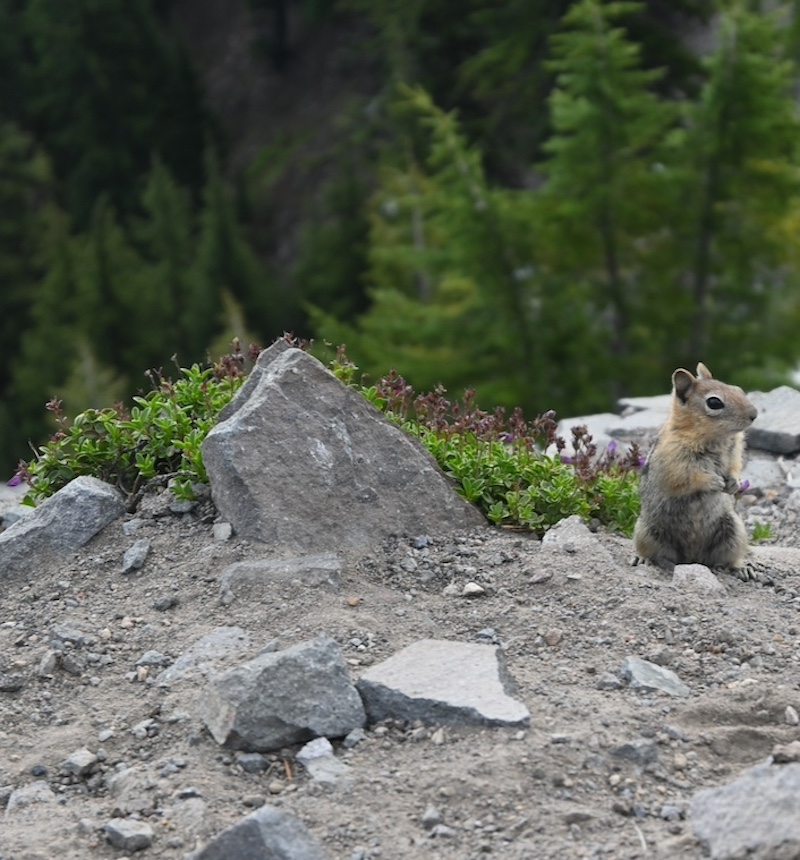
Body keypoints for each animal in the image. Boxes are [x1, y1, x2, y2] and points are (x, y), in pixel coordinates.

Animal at [633, 362, 758, 578]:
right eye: (714, 402)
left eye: (738, 389)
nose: (754, 414)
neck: (714, 438)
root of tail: (692, 557)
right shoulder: (675, 461)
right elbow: (689, 478)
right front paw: (715, 482)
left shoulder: (735, 451)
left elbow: (734, 466)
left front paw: (734, 483)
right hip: (647, 533)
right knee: (652, 552)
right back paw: (643, 559)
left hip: (734, 531)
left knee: (727, 559)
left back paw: (742, 568)